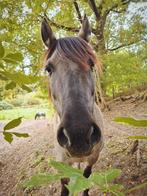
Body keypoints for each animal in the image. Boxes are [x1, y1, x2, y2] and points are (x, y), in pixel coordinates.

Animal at [40, 15, 104, 196]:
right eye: (48, 69)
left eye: (91, 64)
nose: (79, 135)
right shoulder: (62, 163)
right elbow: (64, 184)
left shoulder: (93, 158)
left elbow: (86, 176)